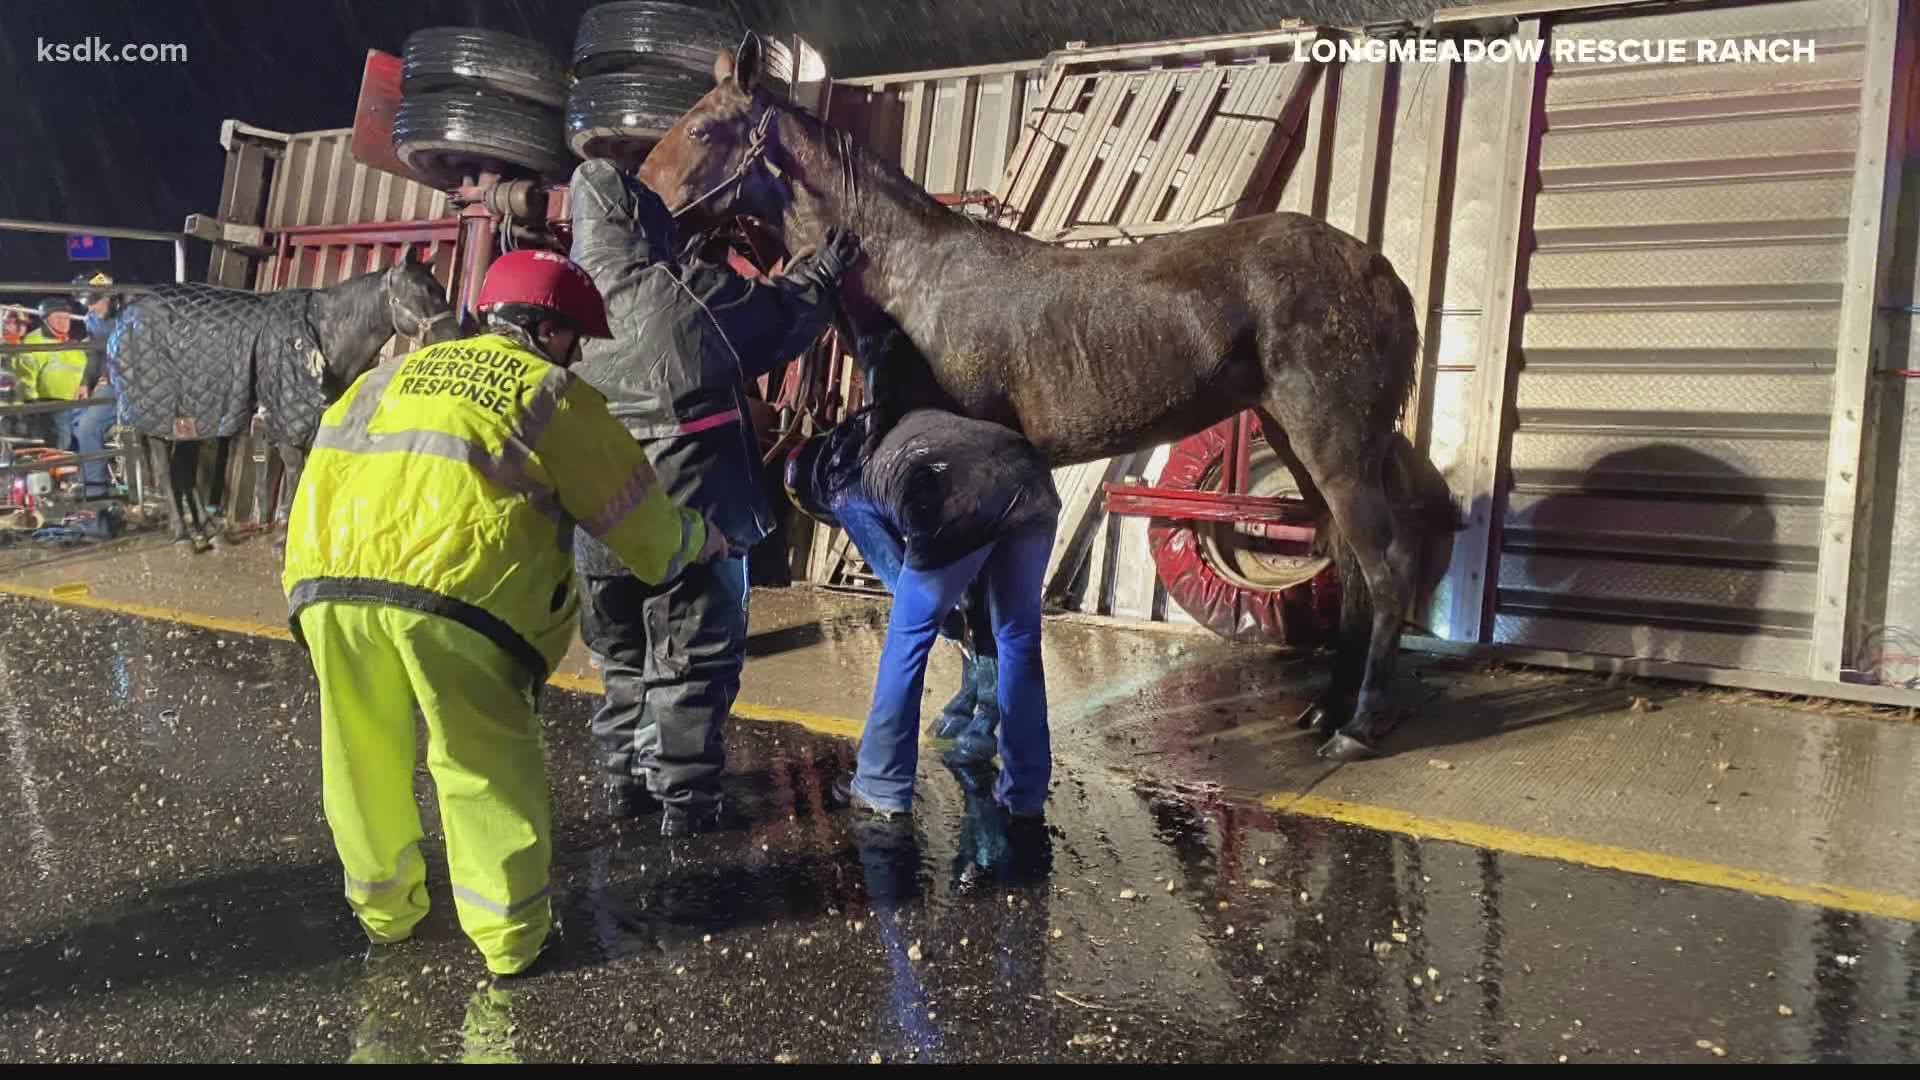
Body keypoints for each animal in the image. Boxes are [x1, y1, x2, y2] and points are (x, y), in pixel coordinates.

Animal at [641, 33, 1451, 757]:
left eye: (705, 128)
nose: (642, 205)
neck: (916, 283)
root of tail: (1380, 272)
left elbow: (971, 606)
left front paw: (980, 724)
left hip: (1334, 442)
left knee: (1385, 567)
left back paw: (1359, 726)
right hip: (1300, 439)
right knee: (1350, 564)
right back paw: (1327, 709)